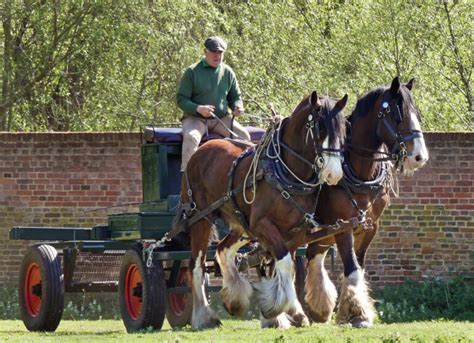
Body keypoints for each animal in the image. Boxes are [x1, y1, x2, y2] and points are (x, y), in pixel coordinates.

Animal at [179, 91, 348, 330]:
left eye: (343, 130)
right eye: (320, 128)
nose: (334, 174)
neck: (283, 170)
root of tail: (202, 150)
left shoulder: (295, 232)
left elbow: (285, 267)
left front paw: (283, 313)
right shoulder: (262, 225)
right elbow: (284, 263)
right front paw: (286, 310)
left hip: (241, 225)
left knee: (223, 250)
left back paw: (234, 299)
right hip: (200, 219)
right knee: (197, 264)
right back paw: (204, 316)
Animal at [304, 76, 430, 330]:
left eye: (417, 113)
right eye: (397, 114)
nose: (419, 157)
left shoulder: (369, 226)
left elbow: (358, 266)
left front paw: (350, 311)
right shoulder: (342, 226)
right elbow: (351, 267)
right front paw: (358, 313)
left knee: (312, 255)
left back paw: (317, 308)